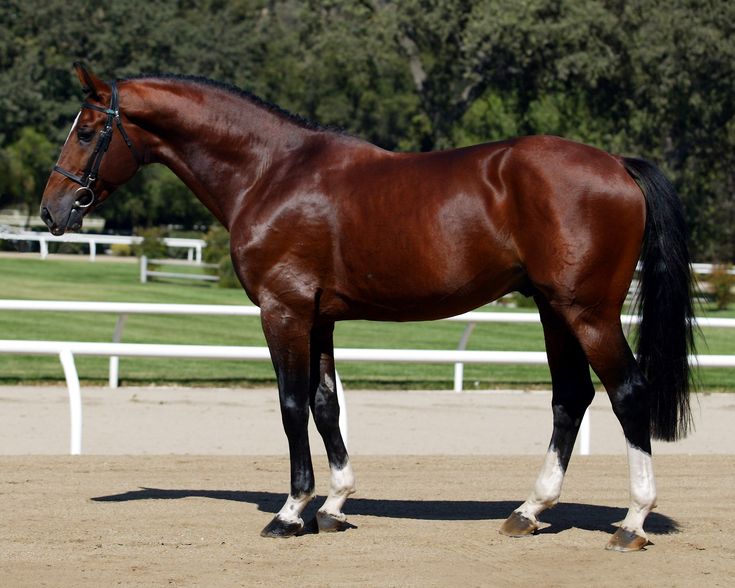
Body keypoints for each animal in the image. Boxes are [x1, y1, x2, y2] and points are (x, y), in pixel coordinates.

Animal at [40, 64, 696, 552]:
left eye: (87, 128)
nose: (52, 211)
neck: (270, 171)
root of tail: (617, 164)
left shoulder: (283, 312)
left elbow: (290, 406)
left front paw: (291, 511)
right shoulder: (320, 317)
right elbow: (326, 405)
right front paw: (333, 505)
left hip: (588, 312)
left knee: (627, 393)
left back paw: (632, 522)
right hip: (553, 310)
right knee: (571, 398)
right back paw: (529, 510)